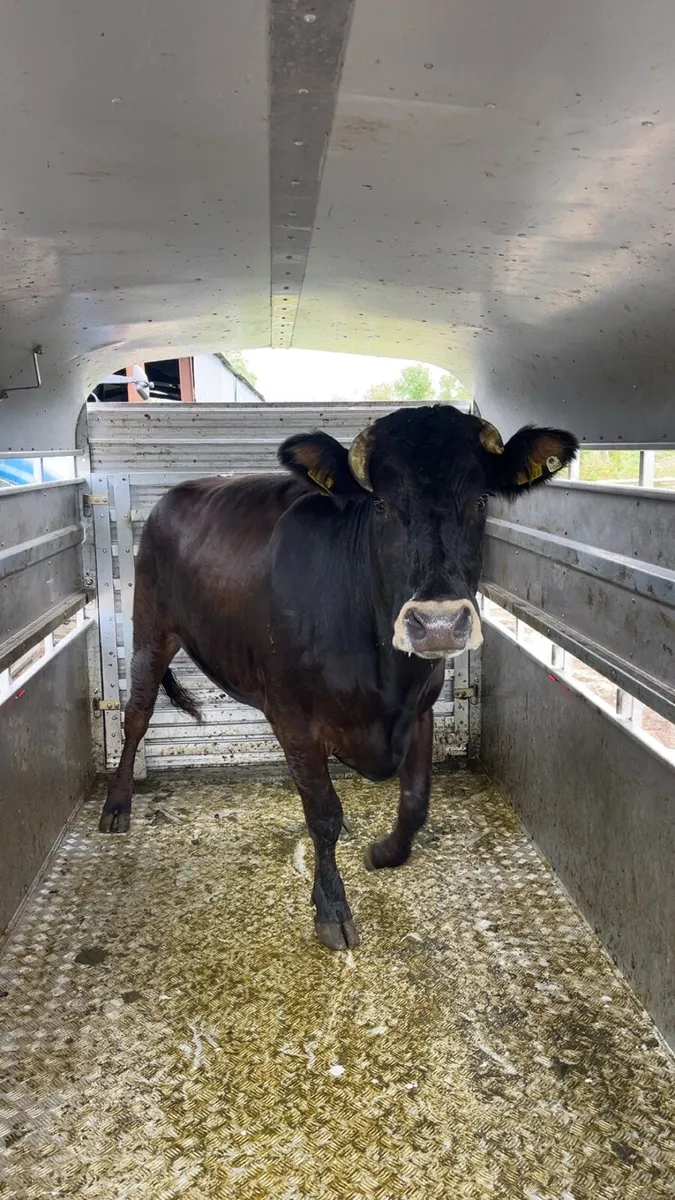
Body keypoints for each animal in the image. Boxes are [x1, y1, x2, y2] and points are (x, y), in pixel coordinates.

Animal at [99, 404, 577, 950]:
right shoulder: (294, 720)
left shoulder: (422, 708)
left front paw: (384, 853)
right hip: (150, 628)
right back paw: (117, 805)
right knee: (136, 715)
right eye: (382, 505)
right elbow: (323, 815)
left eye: (480, 499)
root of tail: (178, 493)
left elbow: (415, 801)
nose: (437, 624)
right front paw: (331, 906)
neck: (385, 678)